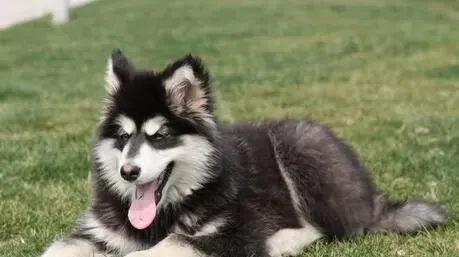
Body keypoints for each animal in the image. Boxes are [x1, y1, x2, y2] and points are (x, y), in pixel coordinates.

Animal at [40, 50, 450, 256]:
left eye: (161, 136)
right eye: (124, 136)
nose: (128, 172)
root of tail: (371, 196)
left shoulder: (230, 233)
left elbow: (164, 247)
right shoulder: (99, 233)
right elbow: (59, 248)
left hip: (300, 145)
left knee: (337, 229)